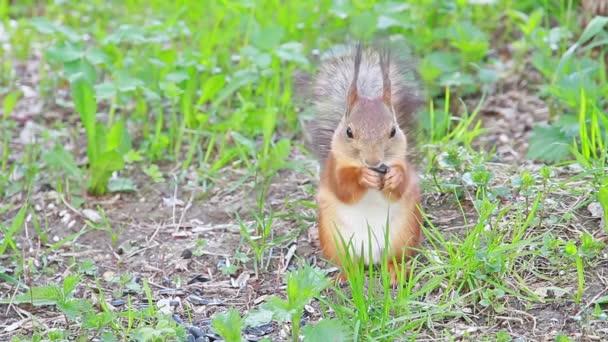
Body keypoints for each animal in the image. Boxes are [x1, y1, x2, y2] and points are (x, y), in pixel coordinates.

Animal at [302, 43, 426, 288]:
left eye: (393, 130)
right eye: (349, 131)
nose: (373, 161)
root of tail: (370, 256)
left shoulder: (404, 165)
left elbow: (402, 186)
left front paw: (394, 178)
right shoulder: (332, 171)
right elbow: (343, 189)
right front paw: (362, 178)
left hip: (403, 235)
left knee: (392, 260)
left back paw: (395, 273)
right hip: (335, 241)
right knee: (348, 264)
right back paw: (344, 276)